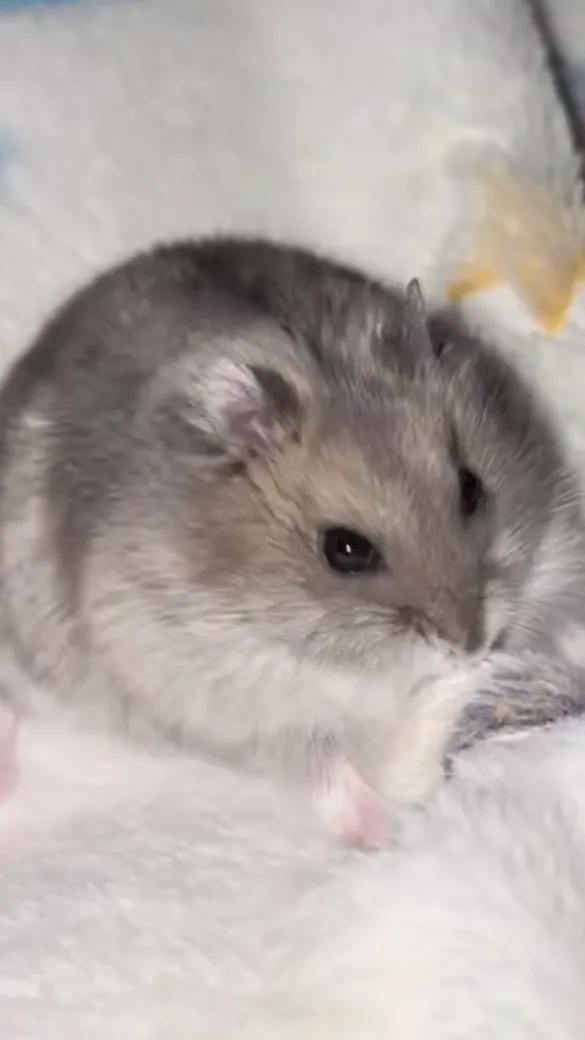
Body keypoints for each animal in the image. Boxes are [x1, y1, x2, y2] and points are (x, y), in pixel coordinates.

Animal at [0, 236, 581, 842]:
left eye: (471, 488)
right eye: (345, 551)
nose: (474, 646)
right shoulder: (237, 708)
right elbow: (326, 769)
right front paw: (383, 830)